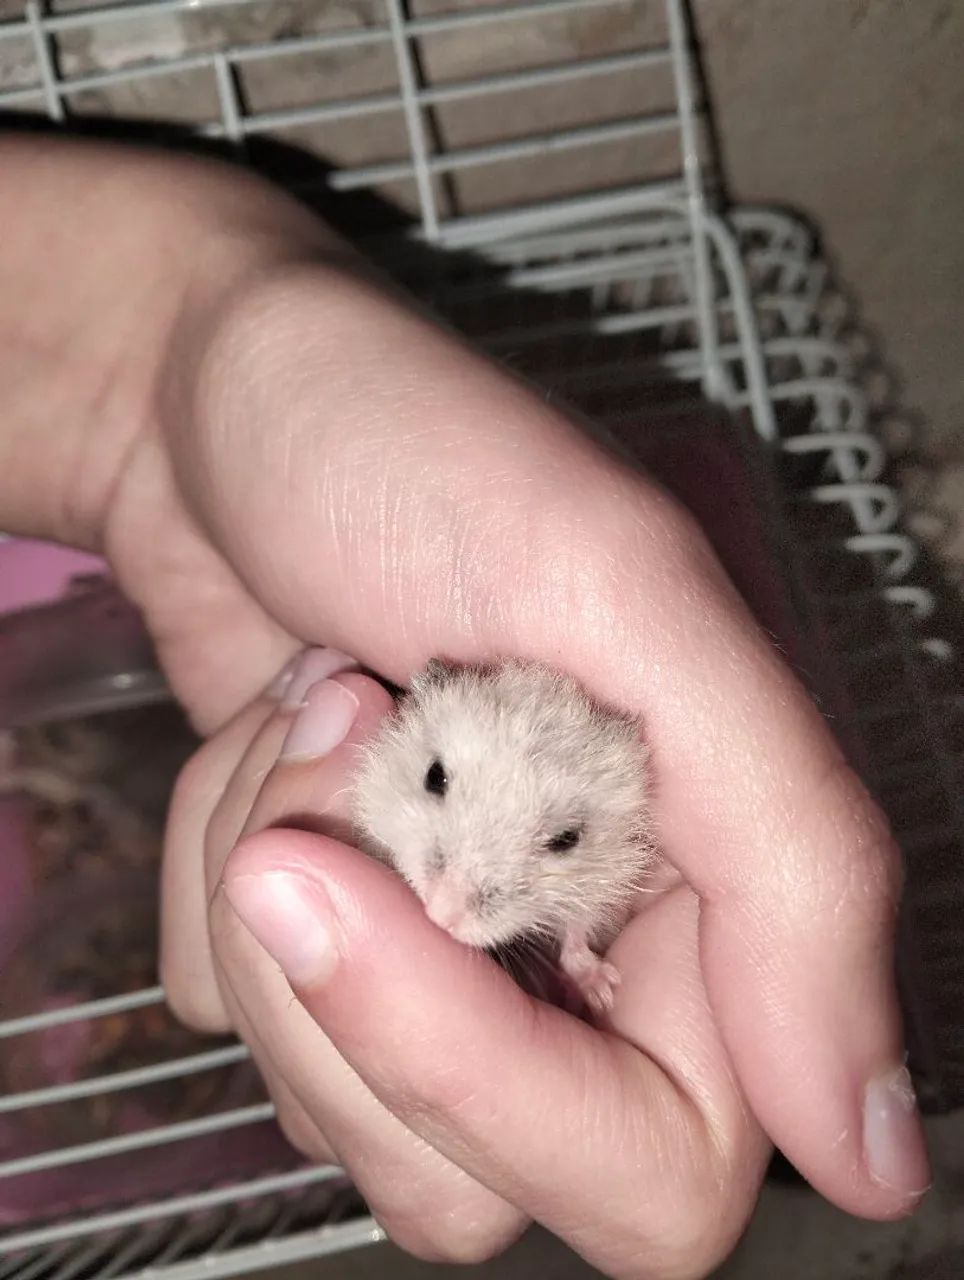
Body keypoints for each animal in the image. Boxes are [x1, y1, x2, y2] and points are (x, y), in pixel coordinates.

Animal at [351, 658, 655, 1014]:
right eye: (434, 776)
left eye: (567, 839)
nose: (440, 914)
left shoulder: (604, 885)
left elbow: (577, 936)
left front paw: (603, 993)